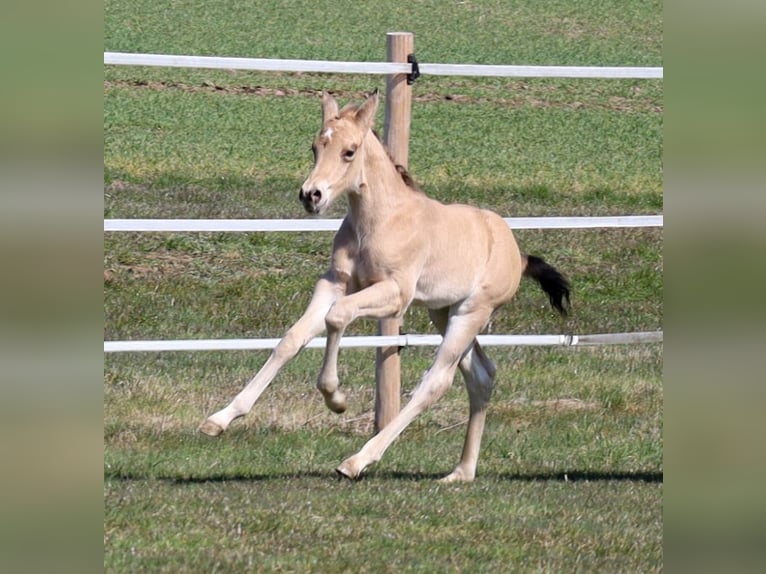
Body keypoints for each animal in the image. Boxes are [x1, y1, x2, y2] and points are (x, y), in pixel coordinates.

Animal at [200, 91, 570, 482]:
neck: (380, 221)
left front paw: (336, 399)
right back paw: (461, 472)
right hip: (444, 312)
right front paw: (220, 419)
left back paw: (357, 461)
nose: (311, 195)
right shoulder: (334, 282)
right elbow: (292, 338)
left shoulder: (395, 295)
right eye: (314, 146)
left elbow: (337, 317)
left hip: (472, 313)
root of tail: (517, 252)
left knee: (436, 382)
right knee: (482, 377)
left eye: (349, 151)